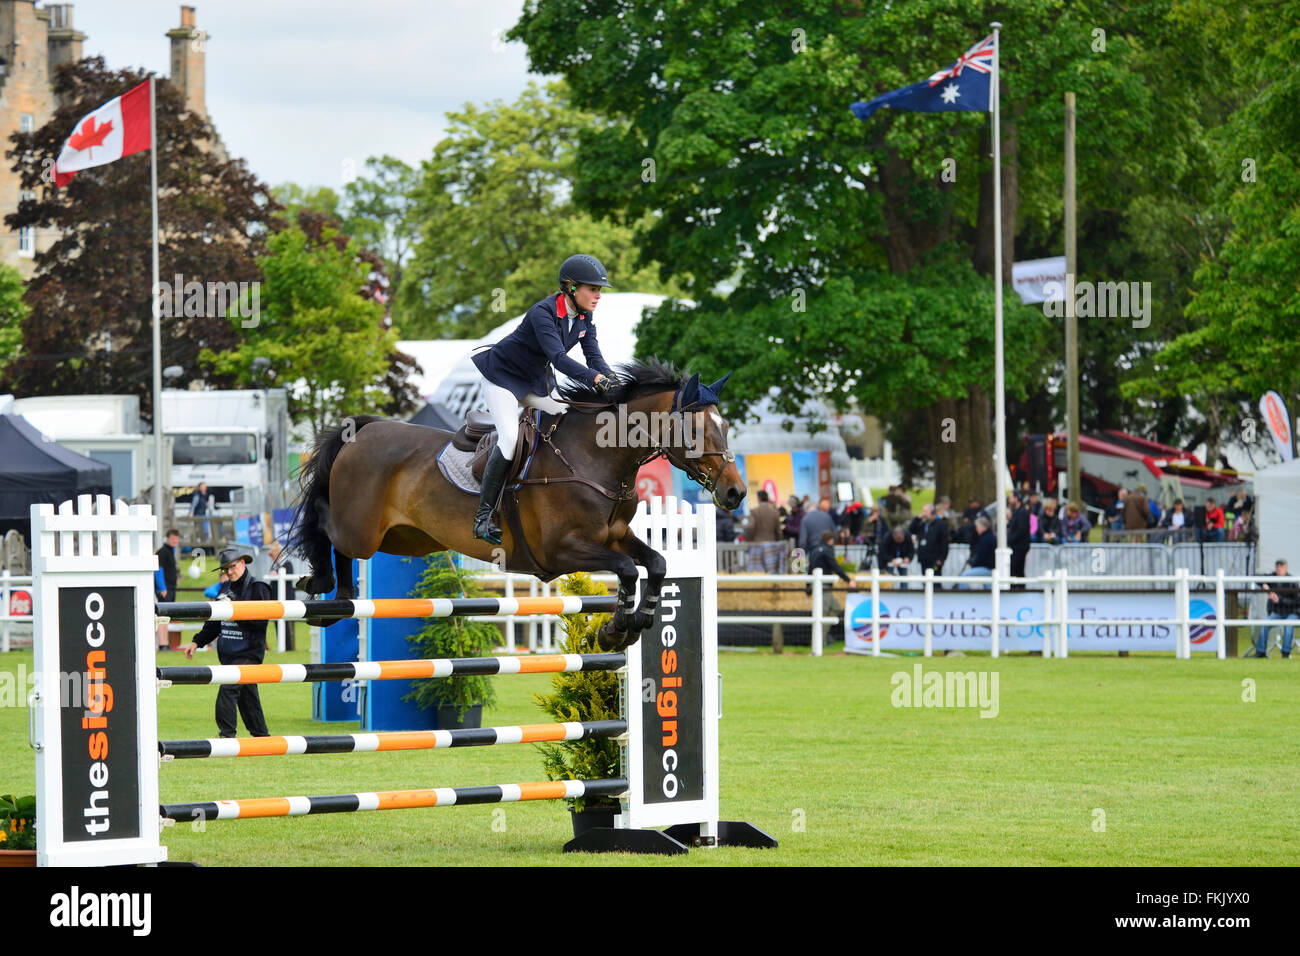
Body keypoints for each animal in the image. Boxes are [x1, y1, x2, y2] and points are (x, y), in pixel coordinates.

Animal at [289, 361, 748, 650]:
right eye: (695, 429)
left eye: (725, 426)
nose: (735, 494)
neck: (592, 458)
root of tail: (363, 431)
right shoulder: (562, 550)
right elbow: (626, 570)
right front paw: (616, 630)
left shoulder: (614, 536)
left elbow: (655, 563)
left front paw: (637, 624)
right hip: (362, 530)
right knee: (325, 527)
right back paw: (320, 583)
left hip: (408, 540)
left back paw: (338, 601)